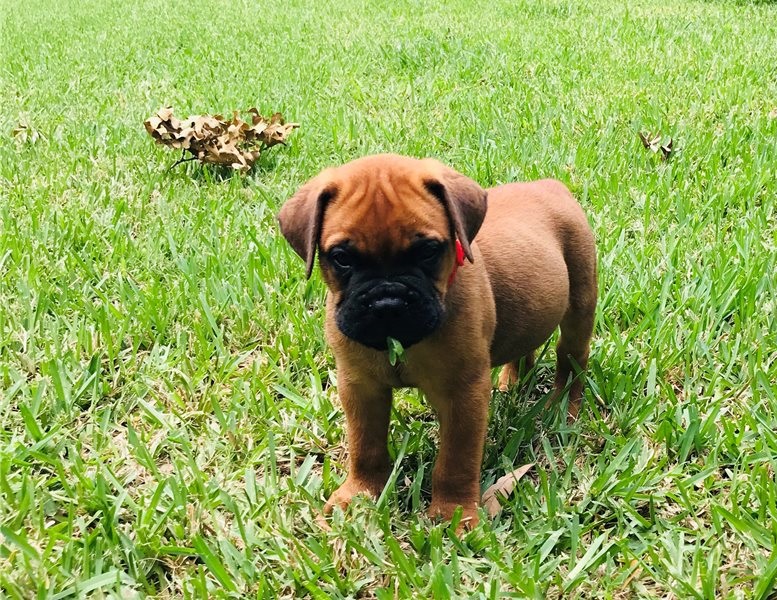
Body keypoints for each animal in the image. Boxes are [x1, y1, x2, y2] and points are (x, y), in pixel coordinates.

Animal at [278, 154, 596, 524]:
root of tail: (549, 185)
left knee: (571, 357)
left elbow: (456, 461)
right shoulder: (360, 388)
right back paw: (512, 381)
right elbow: (365, 447)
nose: (388, 303)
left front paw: (453, 513)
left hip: (580, 303)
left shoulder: (463, 395)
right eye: (342, 257)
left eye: (427, 251)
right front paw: (359, 494)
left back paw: (564, 405)